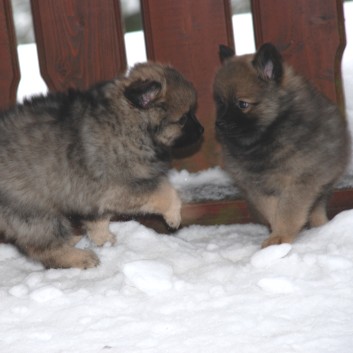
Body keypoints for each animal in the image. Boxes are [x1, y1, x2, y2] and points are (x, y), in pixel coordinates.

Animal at [0, 62, 202, 266]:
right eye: (183, 119)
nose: (202, 130)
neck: (128, 124)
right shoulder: (117, 187)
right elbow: (164, 189)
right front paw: (173, 215)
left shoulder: (93, 195)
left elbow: (99, 219)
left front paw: (103, 240)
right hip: (35, 210)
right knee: (43, 247)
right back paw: (80, 257)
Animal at [213, 42, 348, 246]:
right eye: (221, 103)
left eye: (242, 104)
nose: (219, 124)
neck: (268, 133)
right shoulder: (259, 188)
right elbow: (273, 211)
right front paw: (277, 234)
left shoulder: (301, 180)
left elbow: (288, 211)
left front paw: (281, 236)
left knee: (317, 207)